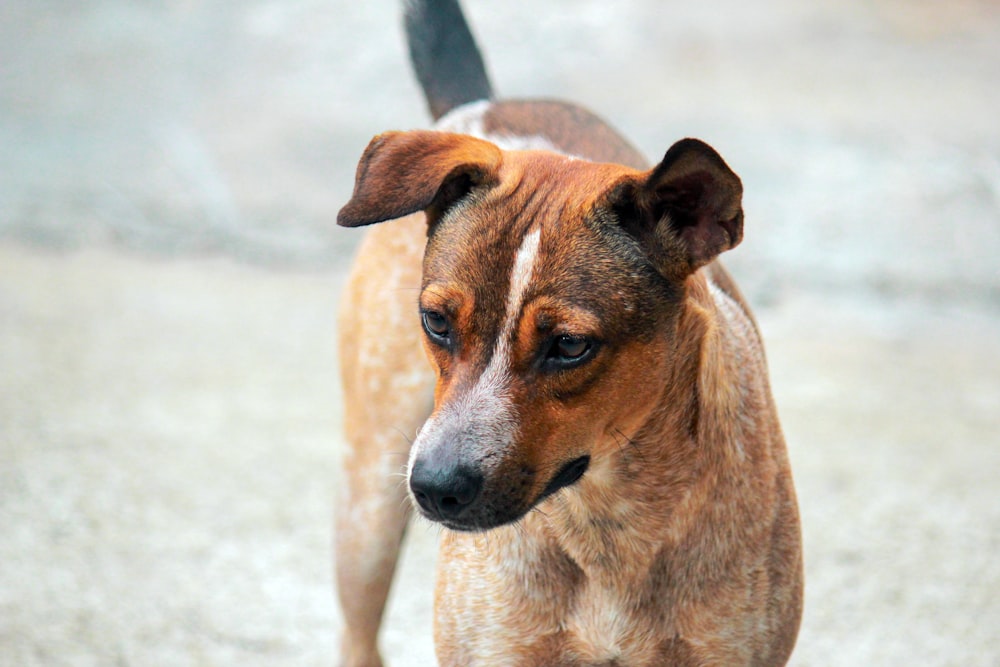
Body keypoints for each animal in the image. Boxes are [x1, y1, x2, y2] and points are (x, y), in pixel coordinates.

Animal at [332, 2, 800, 664]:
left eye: (570, 346)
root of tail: (484, 103)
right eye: (436, 322)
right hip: (367, 504)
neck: (606, 522)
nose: (435, 486)